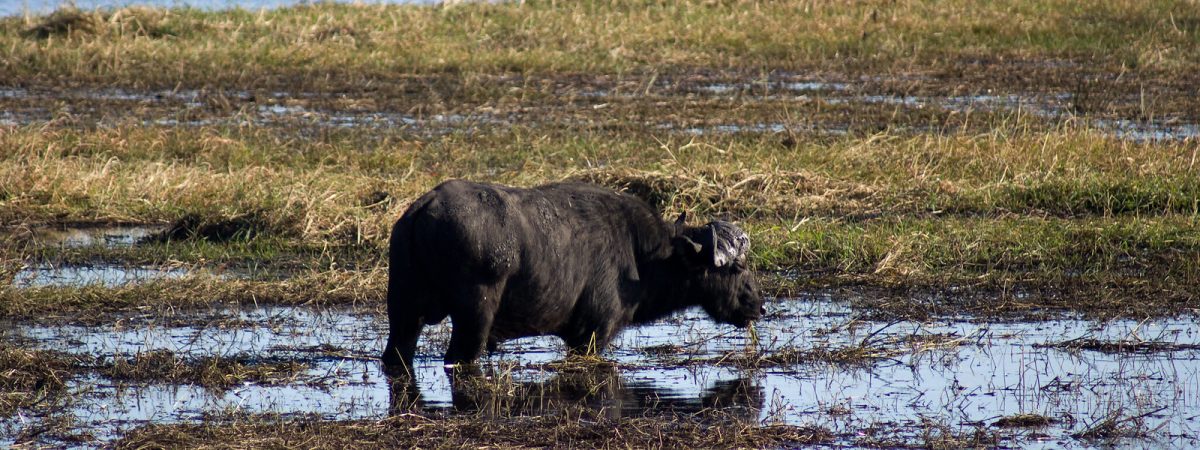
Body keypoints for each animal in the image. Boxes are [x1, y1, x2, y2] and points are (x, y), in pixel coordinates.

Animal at [381, 180, 763, 374]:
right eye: (736, 267)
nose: (758, 305)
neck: (641, 255)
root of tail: (425, 208)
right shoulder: (591, 333)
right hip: (474, 318)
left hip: (403, 312)